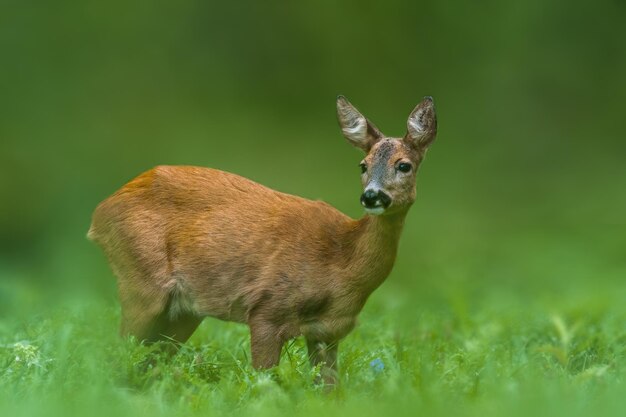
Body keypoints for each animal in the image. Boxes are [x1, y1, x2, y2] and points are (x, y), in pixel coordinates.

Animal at [88, 94, 436, 384]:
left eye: (404, 165)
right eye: (362, 165)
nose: (372, 196)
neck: (341, 264)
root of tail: (99, 213)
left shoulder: (329, 332)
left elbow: (329, 389)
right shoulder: (267, 307)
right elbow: (263, 382)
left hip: (184, 311)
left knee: (147, 362)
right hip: (141, 283)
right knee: (119, 354)